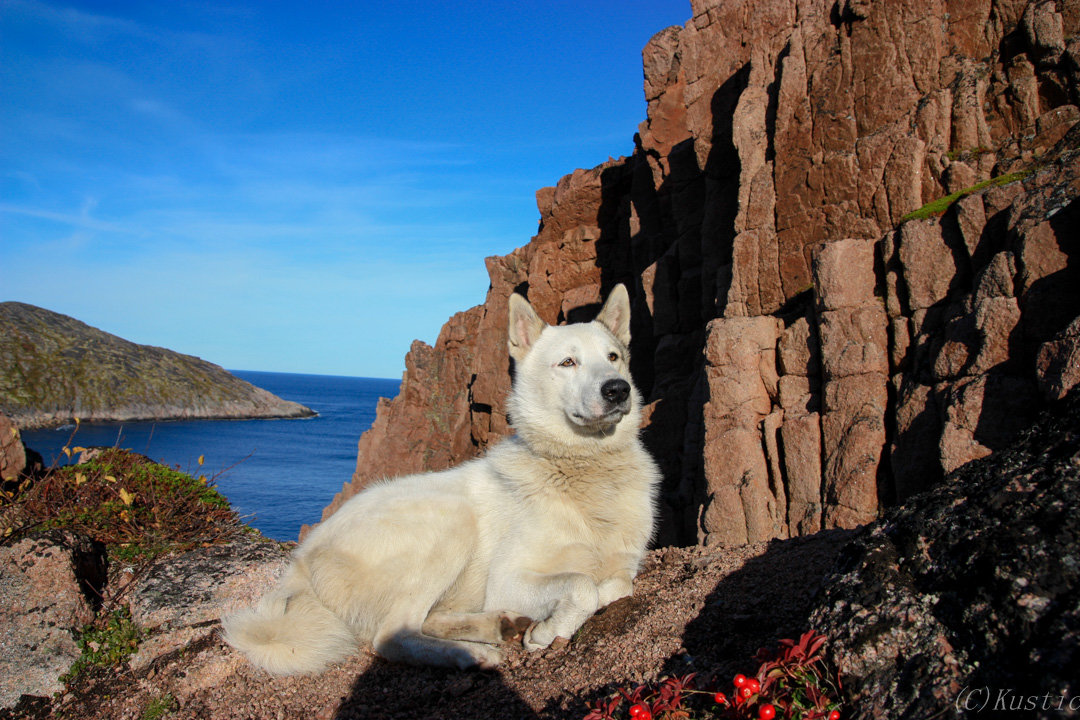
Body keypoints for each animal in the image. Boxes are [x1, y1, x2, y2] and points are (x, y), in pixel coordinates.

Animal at [221, 284, 656, 673]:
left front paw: (547, 623)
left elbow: (615, 586)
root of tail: (301, 564)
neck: (586, 470)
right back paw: (471, 654)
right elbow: (583, 586)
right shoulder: (509, 579)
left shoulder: (622, 566)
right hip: (450, 521)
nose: (618, 389)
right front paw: (547, 633)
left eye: (613, 357)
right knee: (391, 636)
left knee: (425, 619)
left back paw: (498, 624)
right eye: (568, 363)